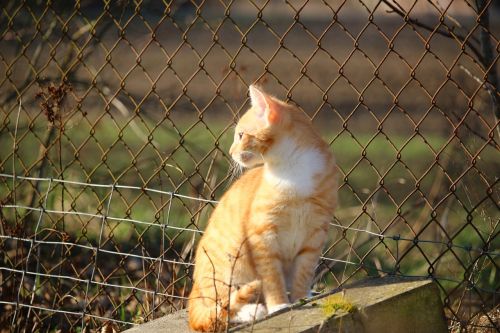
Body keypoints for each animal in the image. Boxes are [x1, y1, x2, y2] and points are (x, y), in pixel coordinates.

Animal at [189, 85, 338, 330]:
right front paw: (279, 305)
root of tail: (194, 291)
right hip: (228, 269)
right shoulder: (262, 235)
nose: (230, 152)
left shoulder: (315, 233)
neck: (291, 169)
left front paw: (300, 299)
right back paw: (252, 311)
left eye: (241, 135)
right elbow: (271, 276)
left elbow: (303, 271)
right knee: (218, 310)